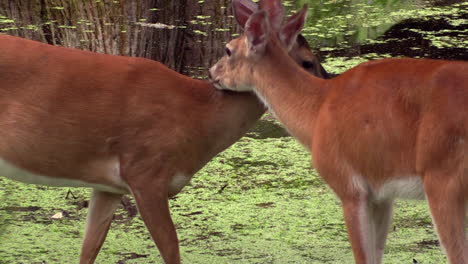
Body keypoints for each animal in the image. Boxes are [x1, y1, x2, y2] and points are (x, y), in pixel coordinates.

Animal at [0, 2, 330, 264]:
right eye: (307, 62)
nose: (327, 87)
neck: (197, 119)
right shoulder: (146, 172)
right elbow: (171, 250)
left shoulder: (109, 186)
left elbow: (89, 248)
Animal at [209, 0, 468, 264]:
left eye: (228, 50)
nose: (211, 72)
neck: (315, 111)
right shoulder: (382, 193)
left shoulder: (348, 184)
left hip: (443, 178)